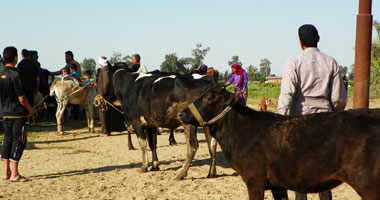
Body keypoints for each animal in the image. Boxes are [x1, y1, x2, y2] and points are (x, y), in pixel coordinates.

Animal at [180, 84, 380, 200]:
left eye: (209, 97)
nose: (181, 113)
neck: (240, 130)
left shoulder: (255, 181)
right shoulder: (277, 185)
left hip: (368, 185)